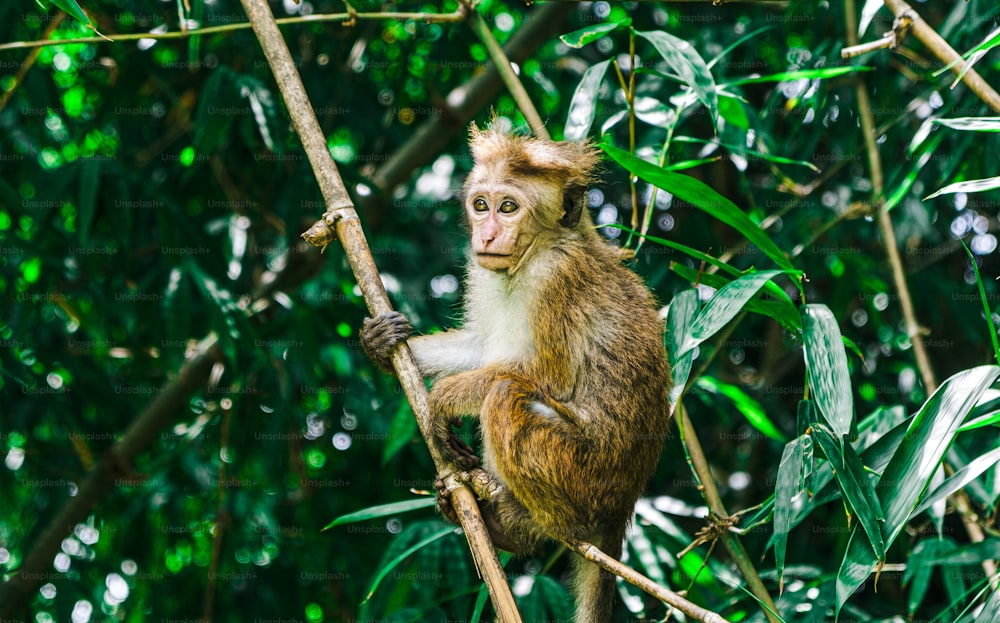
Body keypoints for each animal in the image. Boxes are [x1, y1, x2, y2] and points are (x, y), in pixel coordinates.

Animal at [362, 124, 672, 620]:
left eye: (508, 207)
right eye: (481, 204)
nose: (487, 236)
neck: (533, 253)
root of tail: (622, 508)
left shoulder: (556, 278)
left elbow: (546, 377)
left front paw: (443, 398)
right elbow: (480, 346)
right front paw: (383, 342)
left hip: (585, 475)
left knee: (506, 397)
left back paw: (537, 524)